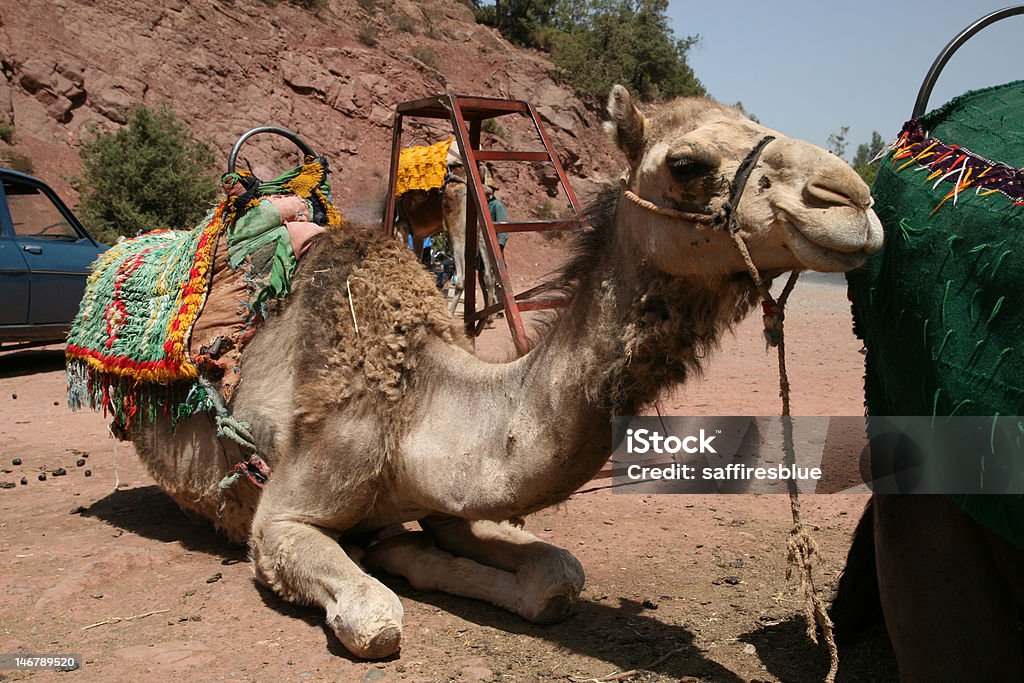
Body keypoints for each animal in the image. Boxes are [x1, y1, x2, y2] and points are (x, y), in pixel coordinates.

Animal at [391, 143, 499, 317]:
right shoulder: (419, 235)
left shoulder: (403, 226)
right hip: (480, 228)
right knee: (488, 276)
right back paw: (484, 319)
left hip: (456, 228)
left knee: (461, 278)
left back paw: (450, 313)